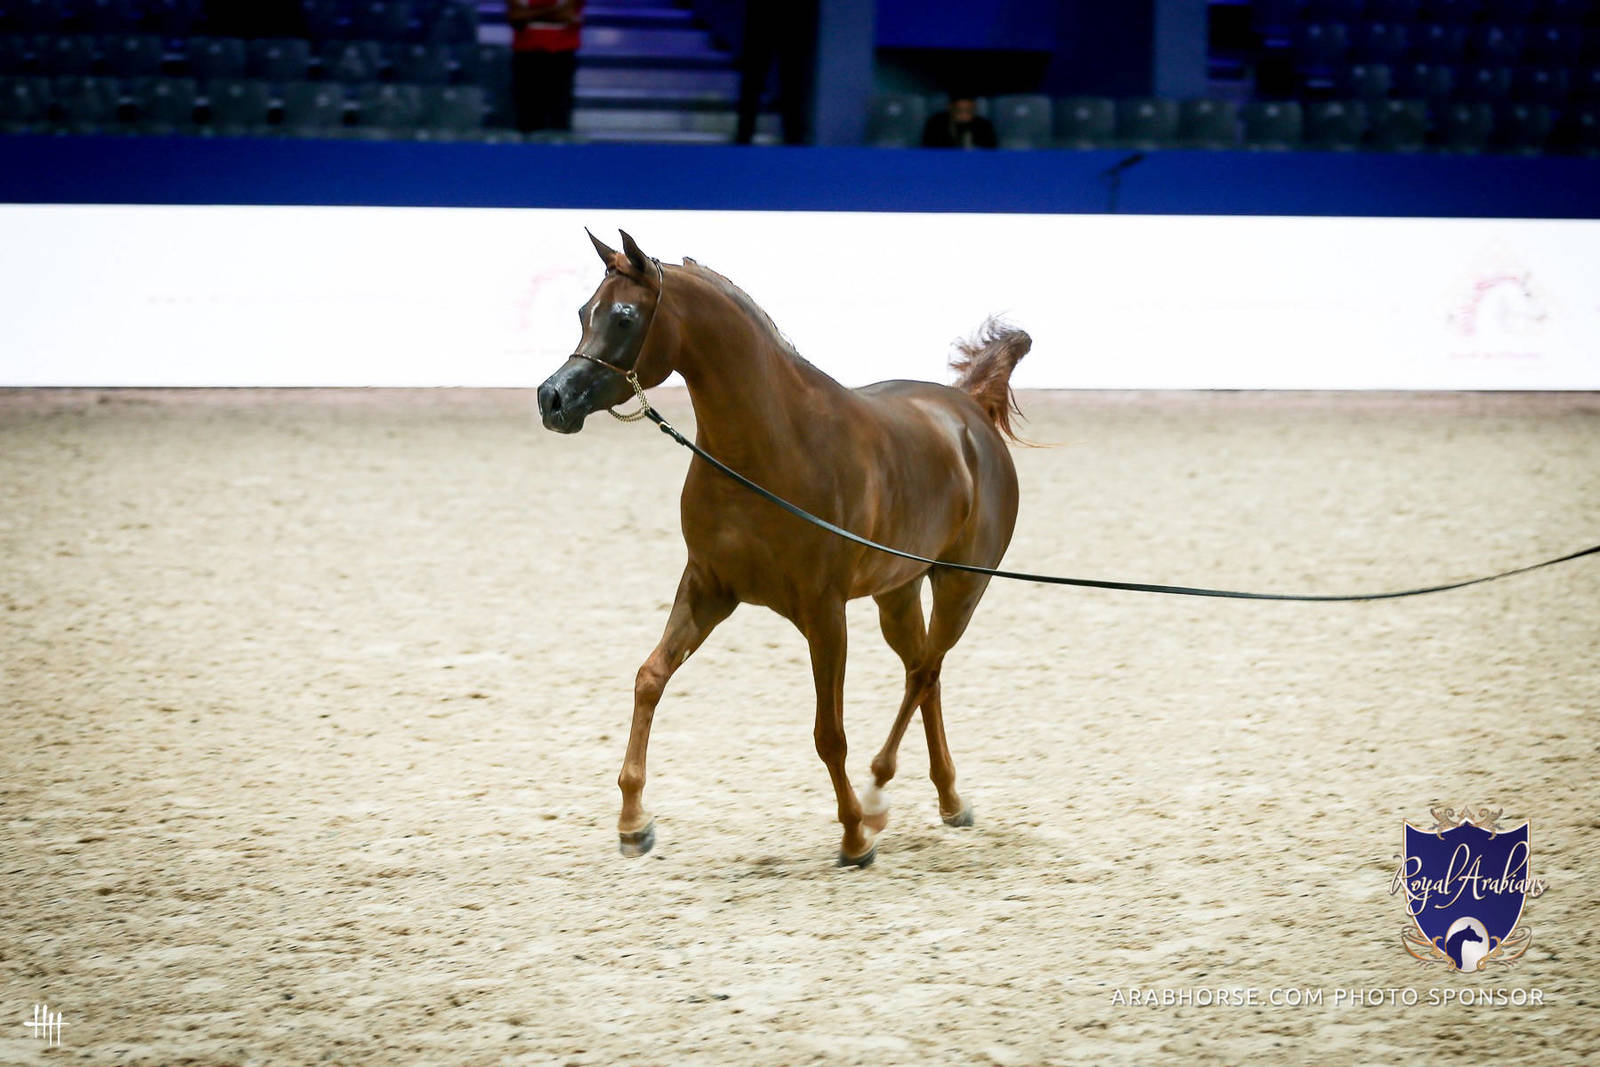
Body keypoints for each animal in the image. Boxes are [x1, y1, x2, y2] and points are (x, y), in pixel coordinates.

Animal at [536, 230, 1030, 866]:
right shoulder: (708, 587)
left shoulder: (824, 612)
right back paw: (948, 800)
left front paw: (854, 836)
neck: (770, 448)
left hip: (961, 585)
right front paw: (633, 824)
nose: (552, 399)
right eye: (582, 312)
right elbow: (650, 678)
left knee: (924, 672)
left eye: (624, 316)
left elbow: (829, 733)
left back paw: (879, 797)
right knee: (925, 672)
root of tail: (968, 410)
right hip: (897, 593)